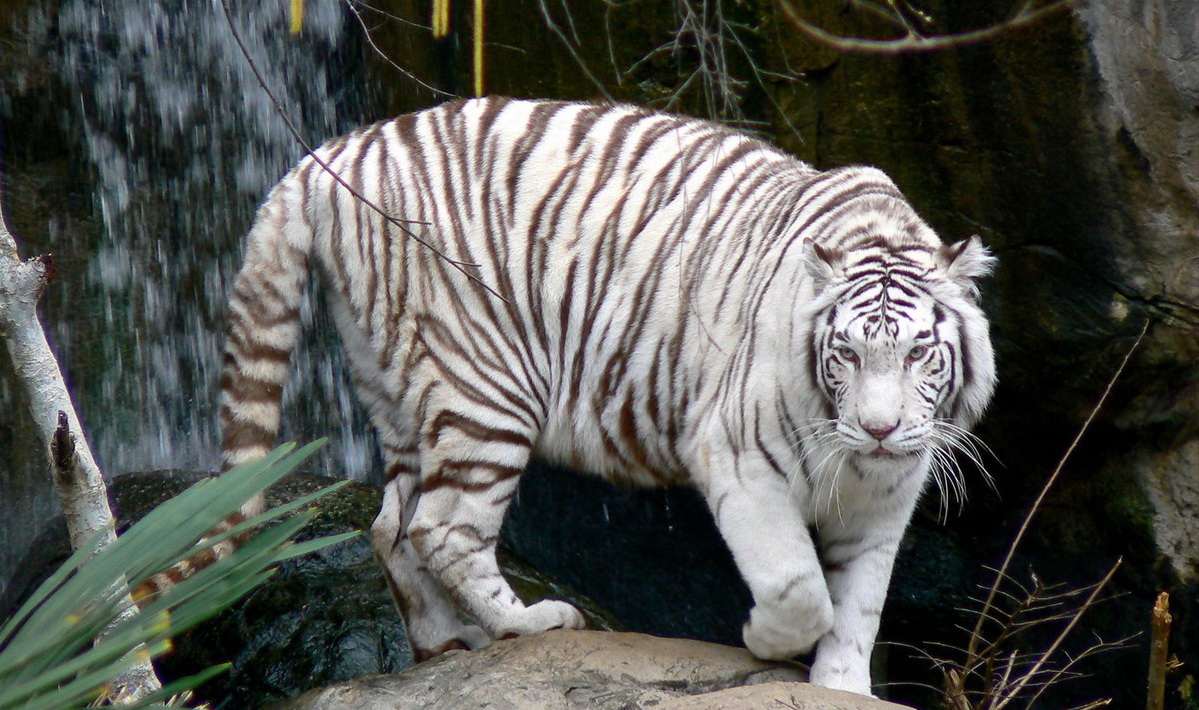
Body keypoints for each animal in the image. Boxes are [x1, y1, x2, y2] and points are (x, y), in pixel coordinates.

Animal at [217, 96, 996, 696]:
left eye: (918, 353)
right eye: (846, 354)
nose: (878, 429)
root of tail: (339, 151)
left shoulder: (885, 499)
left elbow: (859, 607)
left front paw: (841, 686)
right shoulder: (740, 459)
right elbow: (798, 586)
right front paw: (763, 637)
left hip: (396, 385)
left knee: (392, 525)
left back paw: (447, 645)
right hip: (485, 387)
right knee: (444, 527)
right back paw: (527, 624)